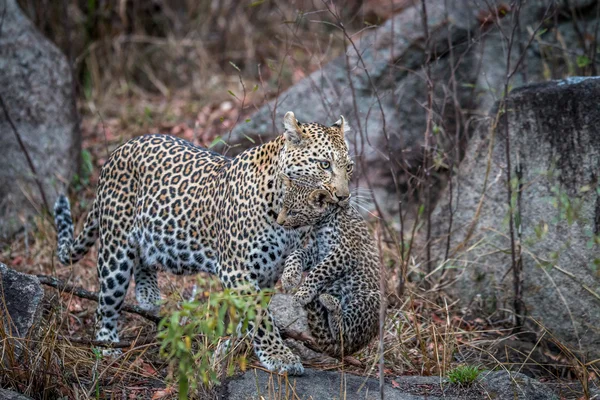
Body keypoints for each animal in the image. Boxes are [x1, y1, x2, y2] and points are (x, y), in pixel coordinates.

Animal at [52, 112, 352, 376]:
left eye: (349, 167)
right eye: (324, 164)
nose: (344, 196)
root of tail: (118, 150)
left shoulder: (269, 271)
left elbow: (250, 316)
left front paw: (232, 346)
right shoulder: (237, 269)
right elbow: (260, 317)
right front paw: (280, 357)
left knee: (144, 260)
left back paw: (148, 295)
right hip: (115, 250)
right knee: (106, 302)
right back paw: (107, 346)